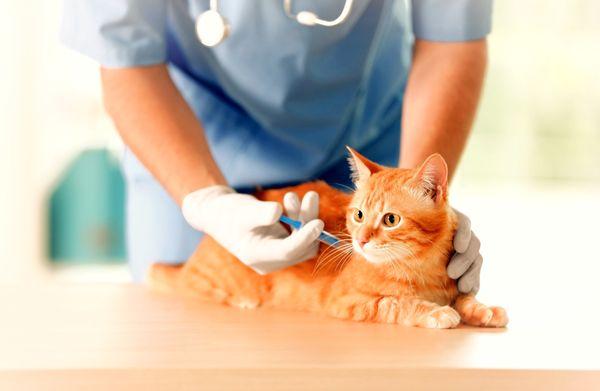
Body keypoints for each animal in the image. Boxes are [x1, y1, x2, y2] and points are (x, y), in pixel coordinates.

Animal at [149, 149, 506, 330]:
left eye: (390, 219)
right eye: (358, 215)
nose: (360, 240)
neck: (423, 270)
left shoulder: (455, 285)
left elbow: (465, 298)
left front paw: (483, 309)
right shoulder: (347, 301)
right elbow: (396, 303)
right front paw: (435, 312)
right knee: (191, 285)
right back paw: (241, 300)